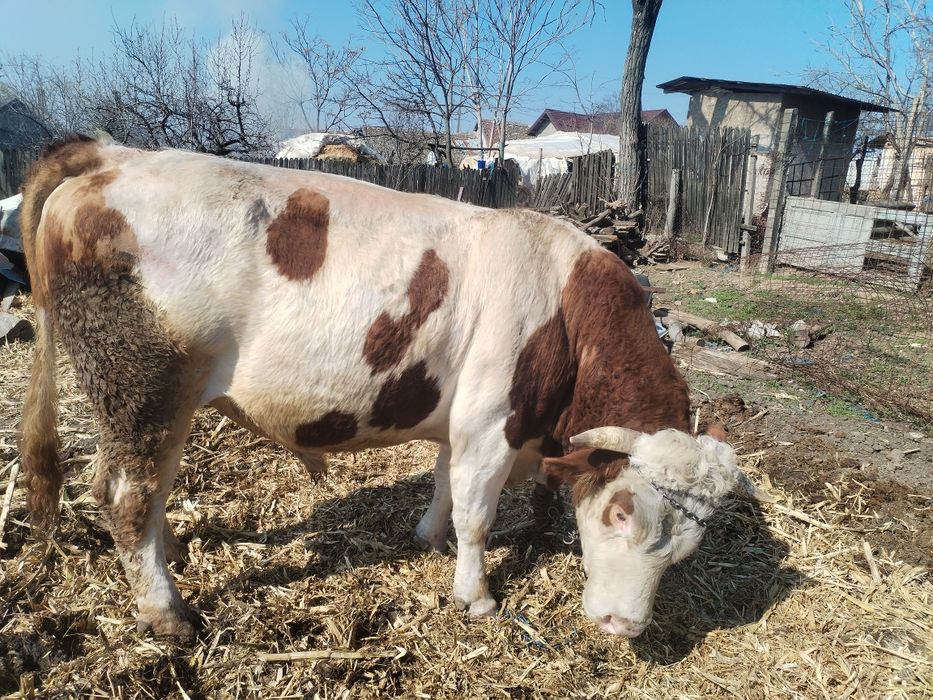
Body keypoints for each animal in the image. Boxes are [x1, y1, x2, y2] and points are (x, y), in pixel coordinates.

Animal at [19, 135, 760, 641]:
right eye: (620, 514)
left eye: (688, 548)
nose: (623, 627)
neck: (567, 304)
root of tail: (108, 154)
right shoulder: (492, 424)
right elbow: (477, 515)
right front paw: (476, 596)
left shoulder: (463, 422)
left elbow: (443, 487)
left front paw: (428, 537)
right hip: (141, 387)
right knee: (124, 494)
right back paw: (165, 611)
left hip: (151, 404)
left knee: (142, 489)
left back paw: (171, 554)